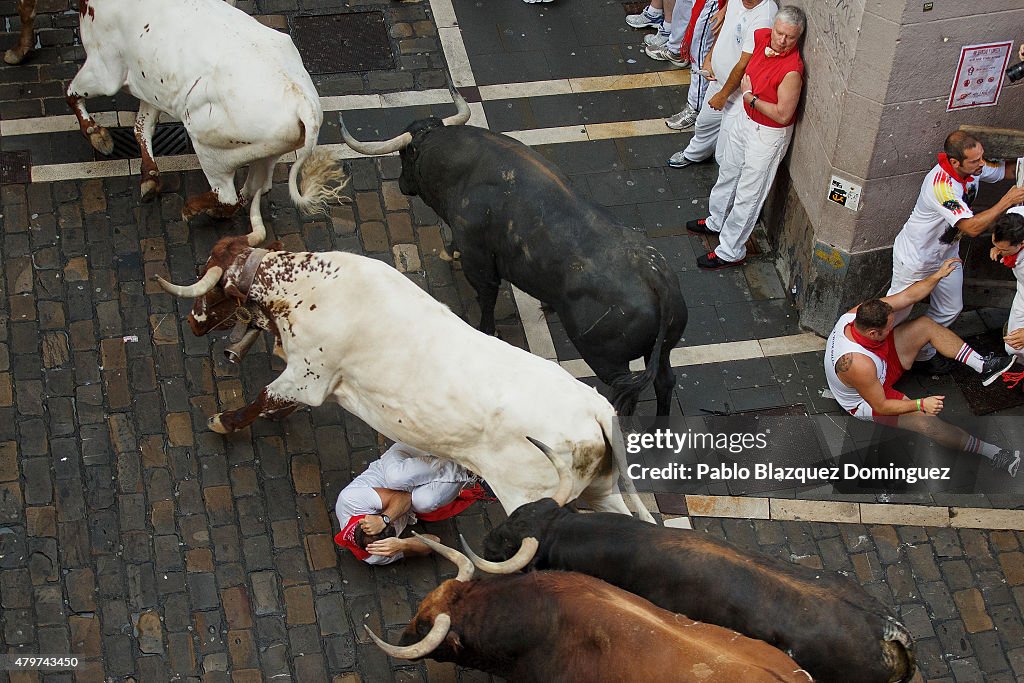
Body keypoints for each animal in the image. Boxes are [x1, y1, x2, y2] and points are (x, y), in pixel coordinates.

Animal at [68, 0, 348, 222]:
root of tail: (301, 101)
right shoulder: (151, 87)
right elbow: (141, 127)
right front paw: (149, 177)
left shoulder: (104, 70)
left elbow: (73, 93)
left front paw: (96, 134)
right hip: (266, 152)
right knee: (255, 187)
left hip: (211, 149)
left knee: (227, 196)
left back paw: (193, 209)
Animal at [155, 205, 651, 520]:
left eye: (208, 283)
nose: (193, 324)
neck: (308, 288)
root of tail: (593, 408)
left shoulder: (307, 374)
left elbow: (264, 398)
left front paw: (223, 420)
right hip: (600, 490)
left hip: (529, 497)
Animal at [346, 116, 688, 417]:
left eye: (405, 153)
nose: (402, 184)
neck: (467, 167)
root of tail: (657, 279)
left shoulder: (478, 258)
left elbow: (486, 297)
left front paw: (486, 329)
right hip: (662, 350)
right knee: (664, 381)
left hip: (606, 360)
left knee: (623, 398)